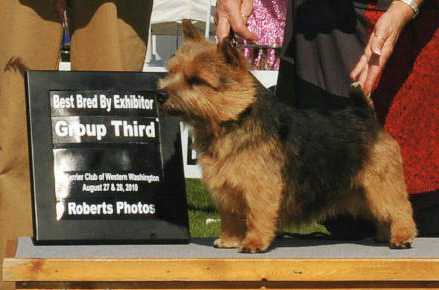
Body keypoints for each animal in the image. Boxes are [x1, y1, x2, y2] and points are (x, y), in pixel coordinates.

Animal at [157, 21, 416, 251]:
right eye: (171, 72)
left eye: (196, 80)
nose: (160, 94)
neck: (231, 121)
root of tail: (364, 114)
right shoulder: (226, 189)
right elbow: (230, 218)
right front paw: (229, 240)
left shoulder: (260, 188)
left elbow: (257, 216)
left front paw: (254, 243)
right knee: (383, 214)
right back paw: (383, 236)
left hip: (381, 183)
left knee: (400, 209)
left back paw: (402, 237)